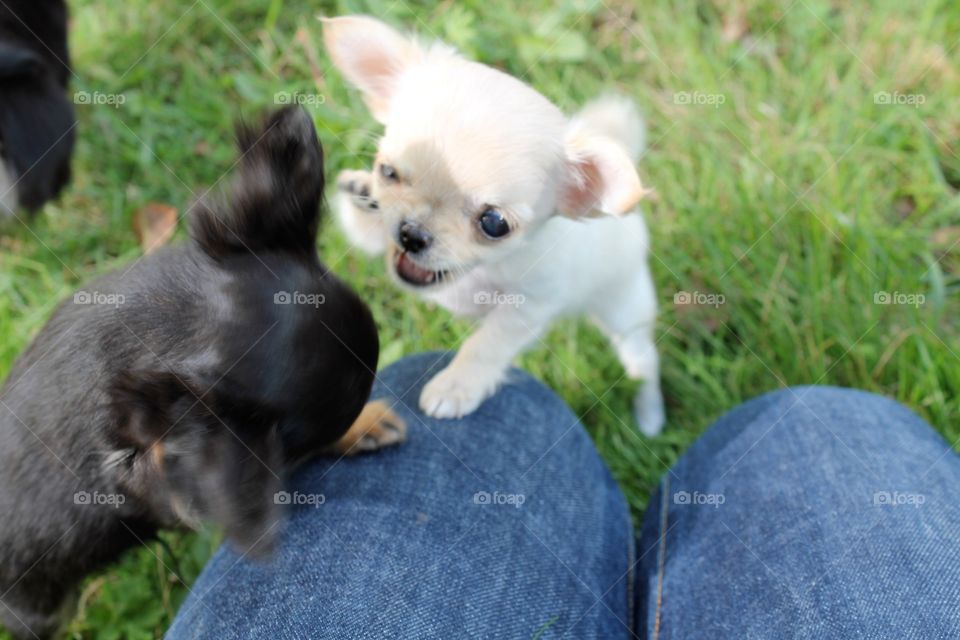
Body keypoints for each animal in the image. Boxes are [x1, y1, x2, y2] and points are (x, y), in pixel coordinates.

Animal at [326, 15, 664, 436]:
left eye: (494, 224)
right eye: (387, 172)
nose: (411, 234)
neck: (480, 273)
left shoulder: (528, 307)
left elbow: (486, 345)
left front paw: (455, 387)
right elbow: (371, 235)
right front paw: (360, 198)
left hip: (625, 313)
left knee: (644, 363)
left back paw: (650, 415)